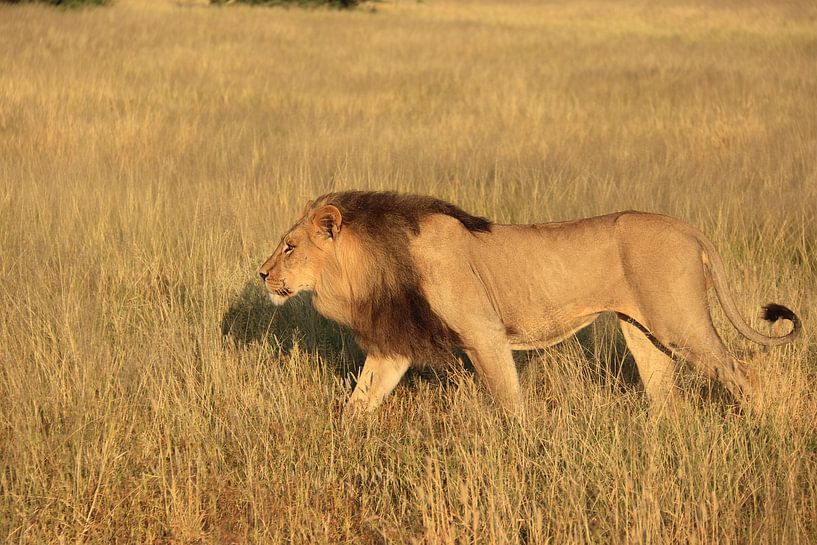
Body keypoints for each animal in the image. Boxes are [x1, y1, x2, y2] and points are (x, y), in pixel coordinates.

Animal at [258, 191, 800, 412]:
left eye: (289, 247)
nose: (261, 275)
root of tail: (688, 228)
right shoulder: (395, 349)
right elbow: (360, 400)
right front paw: (342, 444)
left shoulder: (484, 334)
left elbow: (509, 401)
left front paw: (520, 449)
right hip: (644, 331)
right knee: (664, 393)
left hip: (680, 322)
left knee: (744, 374)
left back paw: (762, 431)